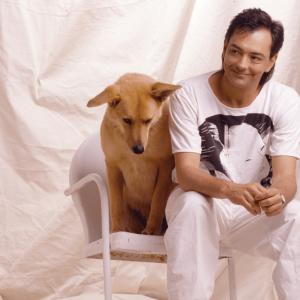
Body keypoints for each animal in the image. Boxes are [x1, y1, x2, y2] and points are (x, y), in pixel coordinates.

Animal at [86, 73, 180, 234]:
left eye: (148, 120)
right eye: (127, 120)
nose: (139, 149)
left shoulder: (165, 166)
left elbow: (157, 201)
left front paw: (151, 230)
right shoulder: (113, 167)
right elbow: (116, 206)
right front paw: (117, 231)